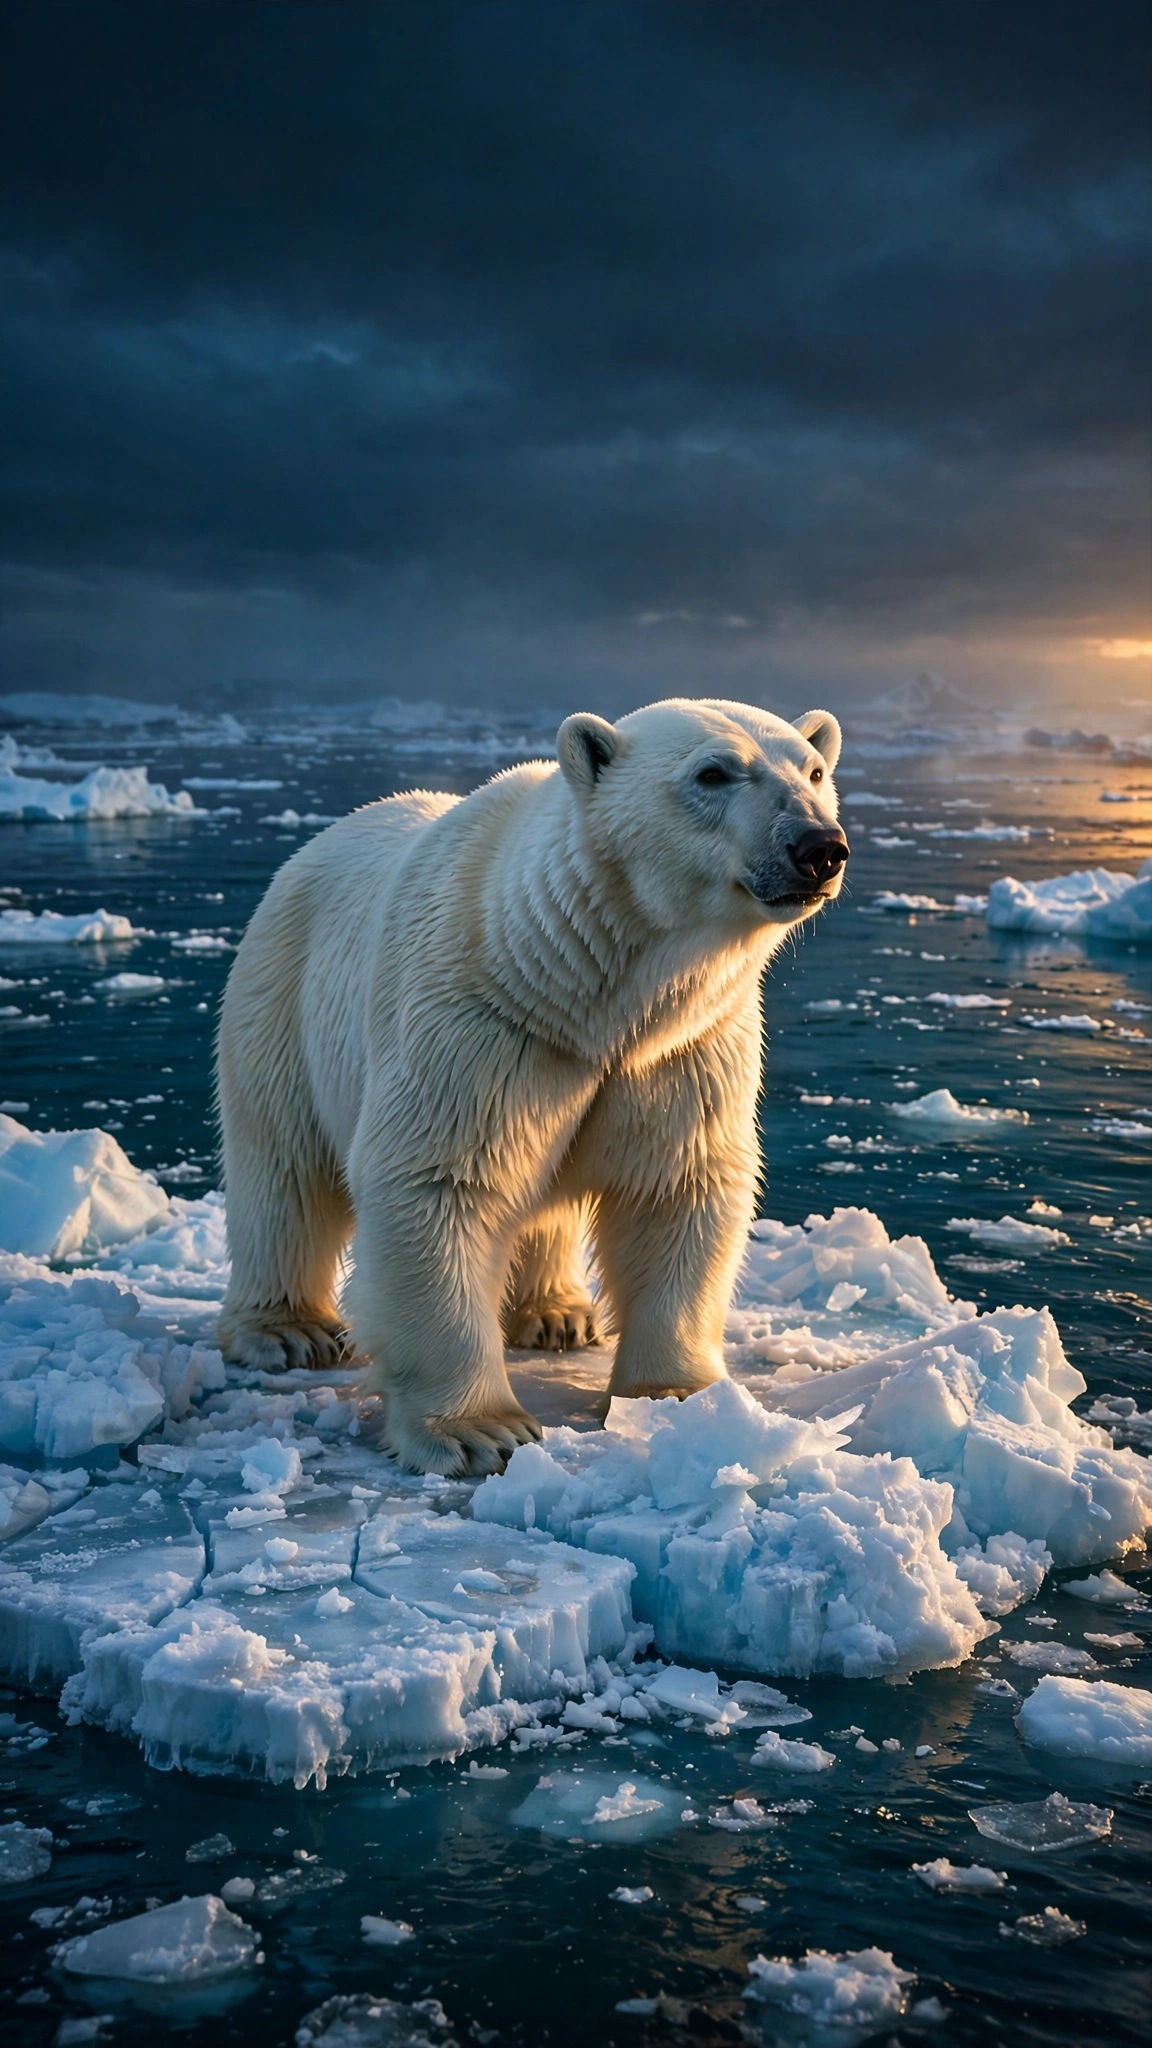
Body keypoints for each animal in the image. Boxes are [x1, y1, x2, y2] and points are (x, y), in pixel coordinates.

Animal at [216, 696, 849, 1476]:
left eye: (814, 770)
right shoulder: (479, 1022)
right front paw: (479, 1431)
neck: (578, 982)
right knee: (283, 1169)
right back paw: (287, 1330)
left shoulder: (682, 1050)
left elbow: (677, 1185)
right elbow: (438, 1181)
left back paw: (556, 1314)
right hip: (283, 996)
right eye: (714, 772)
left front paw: (676, 1401)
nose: (820, 846)